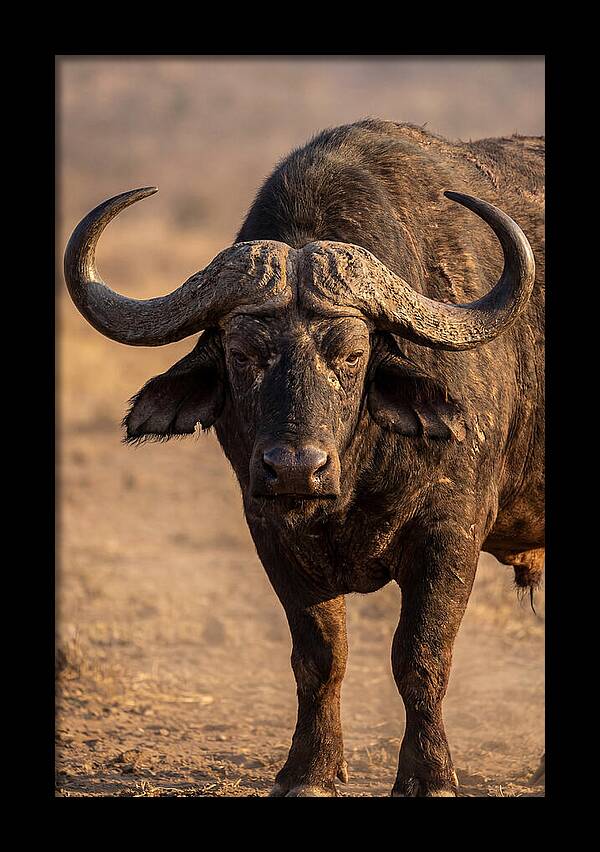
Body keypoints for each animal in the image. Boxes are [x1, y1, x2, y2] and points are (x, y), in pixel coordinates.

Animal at [64, 119, 544, 797]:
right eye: (242, 354)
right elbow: (320, 656)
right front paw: (309, 770)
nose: (294, 468)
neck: (354, 476)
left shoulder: (450, 532)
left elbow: (421, 656)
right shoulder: (270, 532)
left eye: (351, 354)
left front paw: (429, 774)